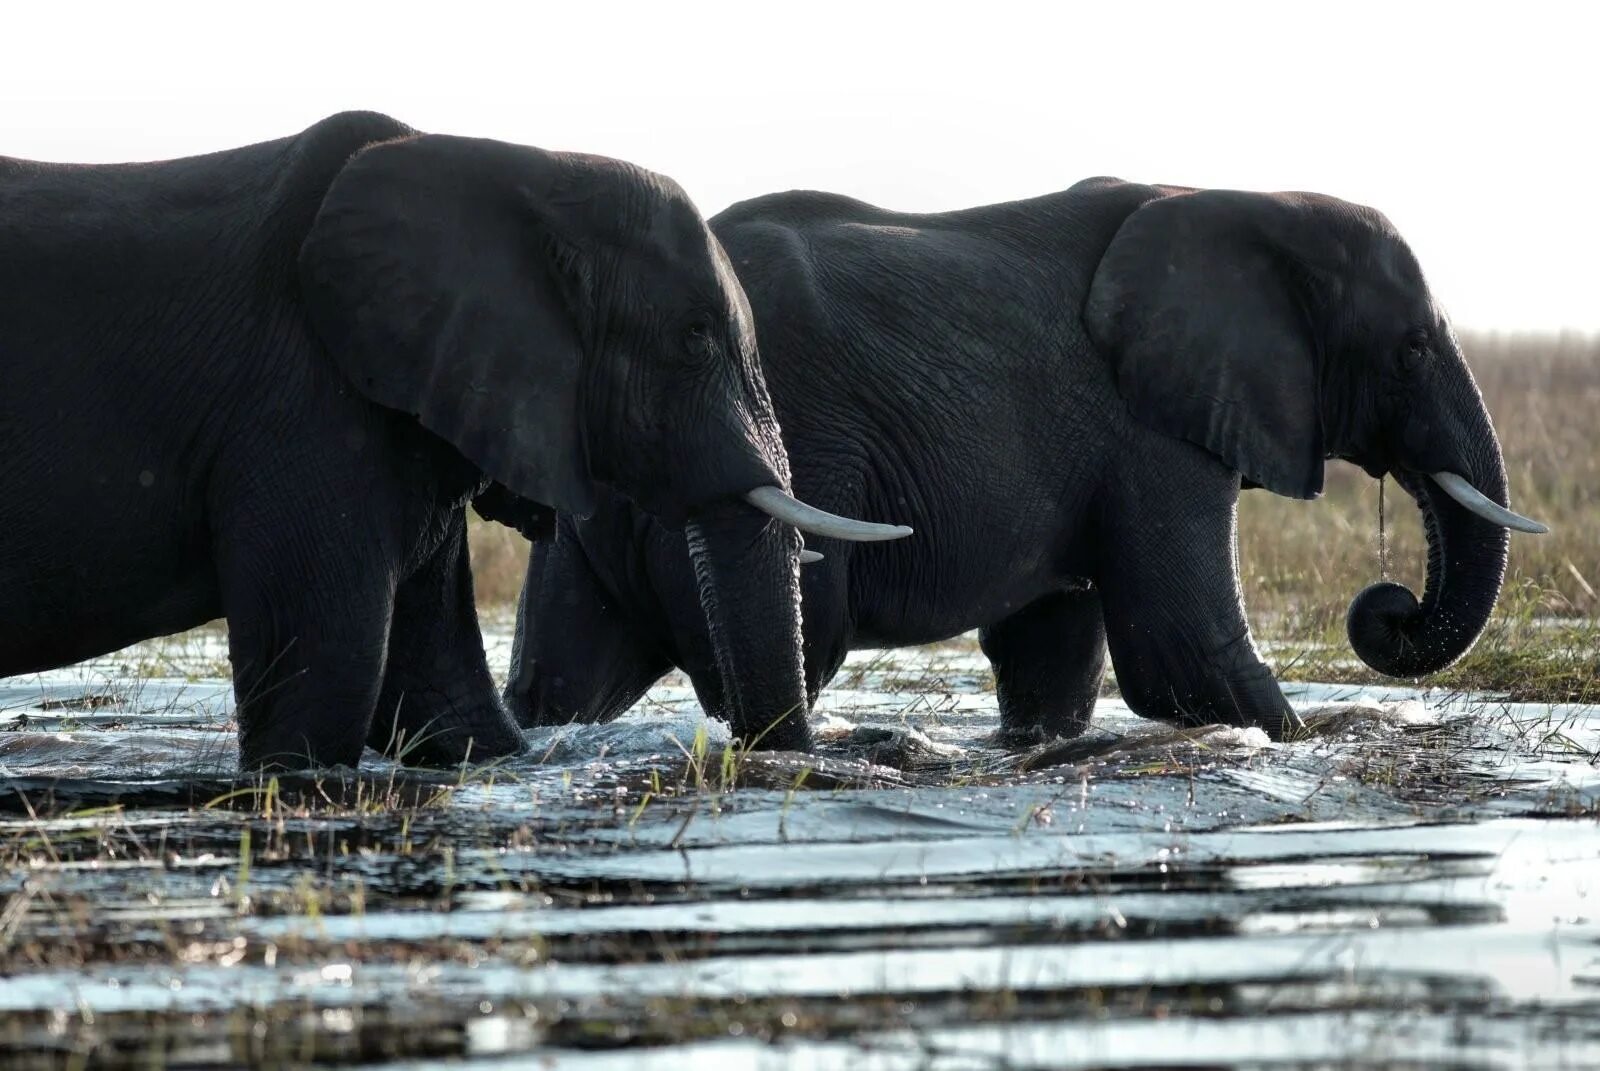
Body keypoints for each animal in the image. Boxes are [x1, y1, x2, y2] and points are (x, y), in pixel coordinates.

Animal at [0, 110, 908, 768]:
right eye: (693, 338)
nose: (763, 754)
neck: (525, 171)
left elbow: (446, 707)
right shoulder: (302, 404)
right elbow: (322, 694)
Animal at [505, 175, 1542, 742]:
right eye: (1411, 349)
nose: (1388, 608)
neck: (1242, 198)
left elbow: (1053, 659)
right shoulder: (1147, 431)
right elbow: (1183, 651)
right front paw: (1305, 741)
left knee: (563, 674)